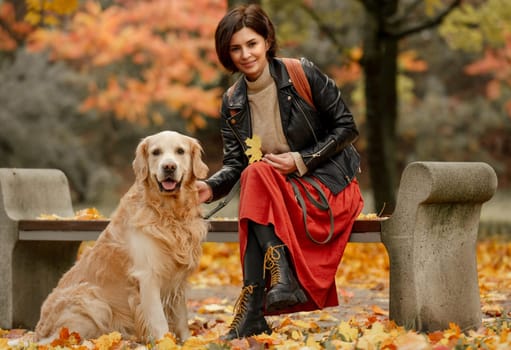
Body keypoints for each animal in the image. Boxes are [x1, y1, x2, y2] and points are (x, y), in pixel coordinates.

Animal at [35, 131, 210, 342]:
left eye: (180, 151)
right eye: (156, 152)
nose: (169, 167)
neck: (169, 213)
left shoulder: (178, 279)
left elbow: (182, 318)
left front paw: (188, 342)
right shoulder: (147, 276)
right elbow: (159, 321)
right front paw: (165, 342)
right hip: (92, 299)